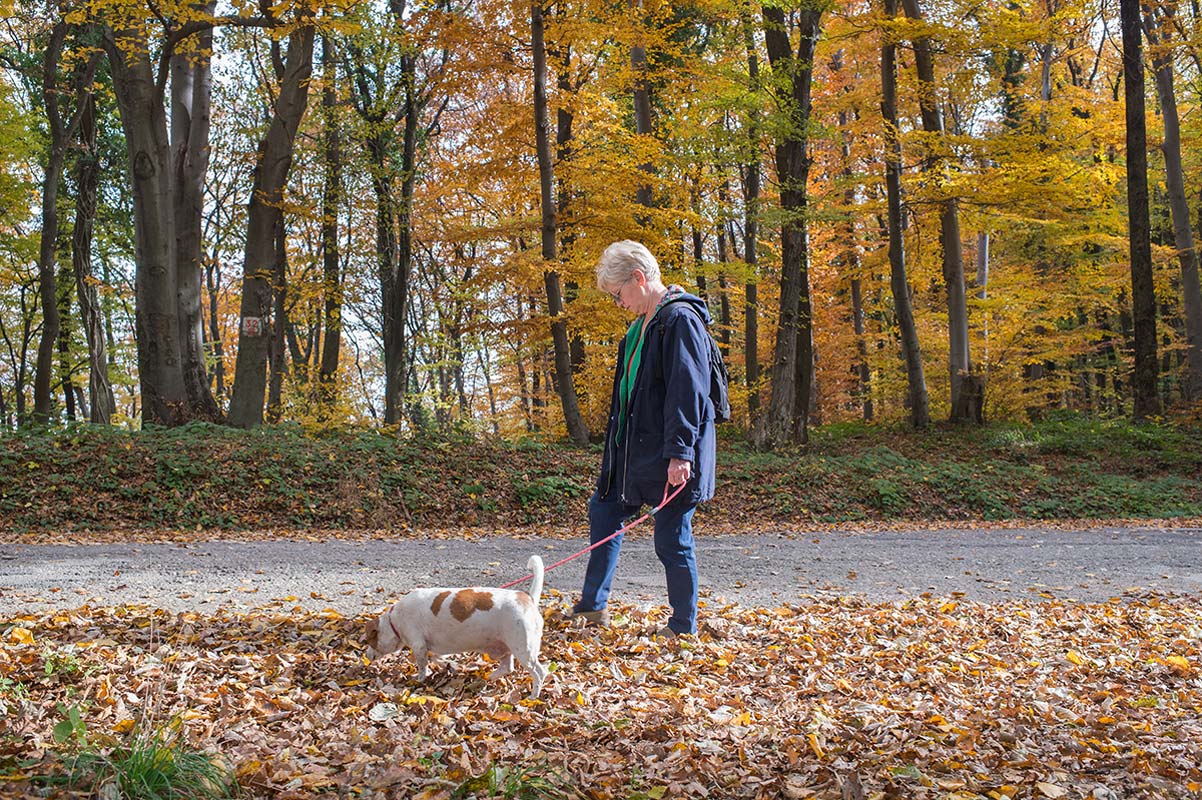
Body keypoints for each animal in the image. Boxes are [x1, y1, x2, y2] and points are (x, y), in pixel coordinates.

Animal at [363, 552, 548, 696]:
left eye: (369, 640)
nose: (366, 655)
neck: (394, 620)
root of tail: (528, 599)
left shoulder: (419, 646)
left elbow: (423, 666)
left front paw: (420, 679)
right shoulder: (429, 647)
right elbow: (437, 658)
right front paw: (452, 665)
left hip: (524, 651)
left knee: (539, 673)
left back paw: (534, 696)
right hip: (506, 647)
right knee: (508, 667)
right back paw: (487, 678)